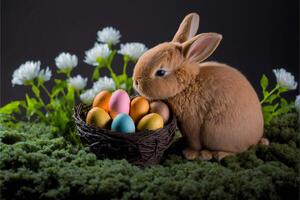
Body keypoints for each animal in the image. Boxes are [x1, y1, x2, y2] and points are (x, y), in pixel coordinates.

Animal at [132, 12, 268, 161]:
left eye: (160, 72)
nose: (136, 81)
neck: (187, 85)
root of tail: (256, 138)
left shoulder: (192, 122)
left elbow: (194, 141)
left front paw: (190, 153)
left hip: (216, 132)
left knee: (238, 151)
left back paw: (216, 154)